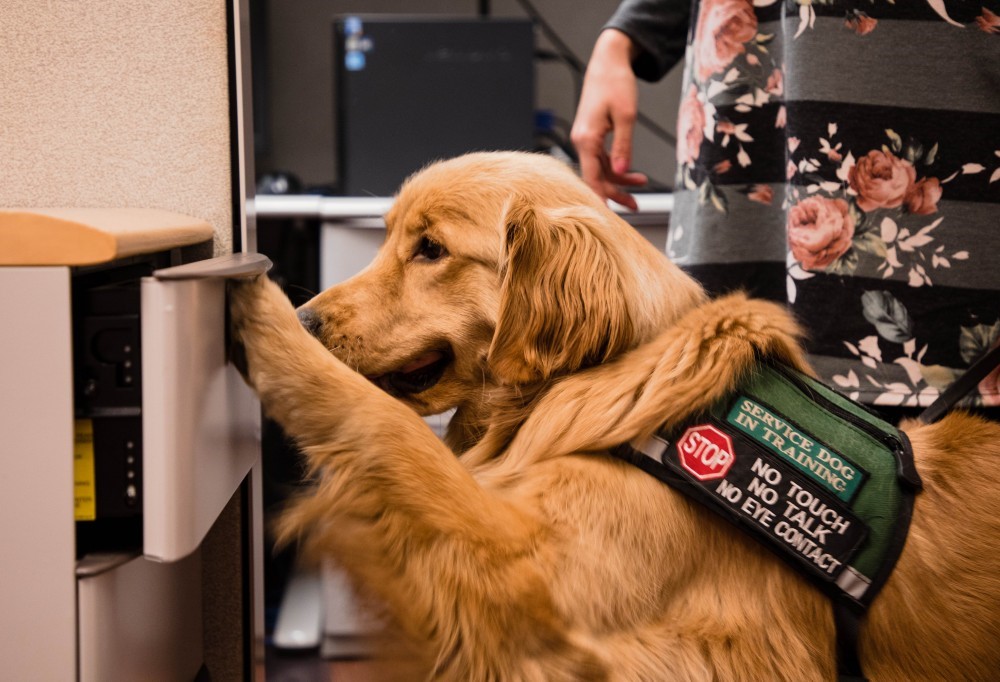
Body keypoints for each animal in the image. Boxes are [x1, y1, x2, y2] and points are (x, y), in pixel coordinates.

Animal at [232, 151, 1000, 676]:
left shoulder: (540, 587)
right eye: (390, 237)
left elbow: (388, 431)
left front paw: (266, 317)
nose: (309, 315)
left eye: (431, 249)